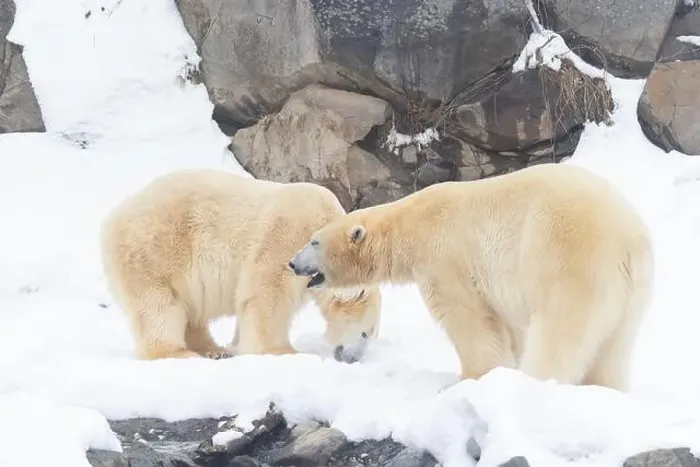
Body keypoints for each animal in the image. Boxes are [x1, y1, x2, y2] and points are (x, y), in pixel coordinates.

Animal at [100, 168, 381, 362]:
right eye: (366, 333)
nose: (352, 359)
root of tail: (114, 216)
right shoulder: (285, 238)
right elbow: (268, 294)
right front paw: (283, 351)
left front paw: (237, 345)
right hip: (154, 250)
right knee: (158, 305)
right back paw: (179, 352)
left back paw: (213, 350)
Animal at [289, 162, 654, 392]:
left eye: (314, 241)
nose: (293, 263)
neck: (411, 225)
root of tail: (629, 239)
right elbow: (508, 328)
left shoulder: (444, 257)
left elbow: (468, 319)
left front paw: (472, 378)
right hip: (631, 293)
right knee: (613, 348)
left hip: (567, 259)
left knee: (561, 332)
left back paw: (534, 383)